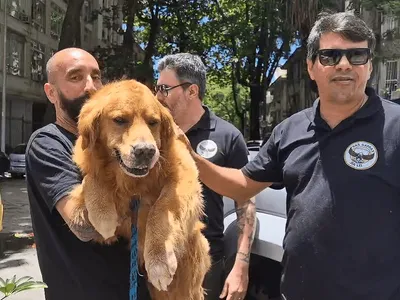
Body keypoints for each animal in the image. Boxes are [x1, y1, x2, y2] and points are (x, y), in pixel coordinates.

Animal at [68, 78, 212, 298]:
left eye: (153, 122)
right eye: (120, 120)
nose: (145, 151)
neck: (134, 182)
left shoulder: (183, 175)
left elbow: (159, 211)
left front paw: (159, 260)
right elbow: (92, 179)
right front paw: (100, 214)